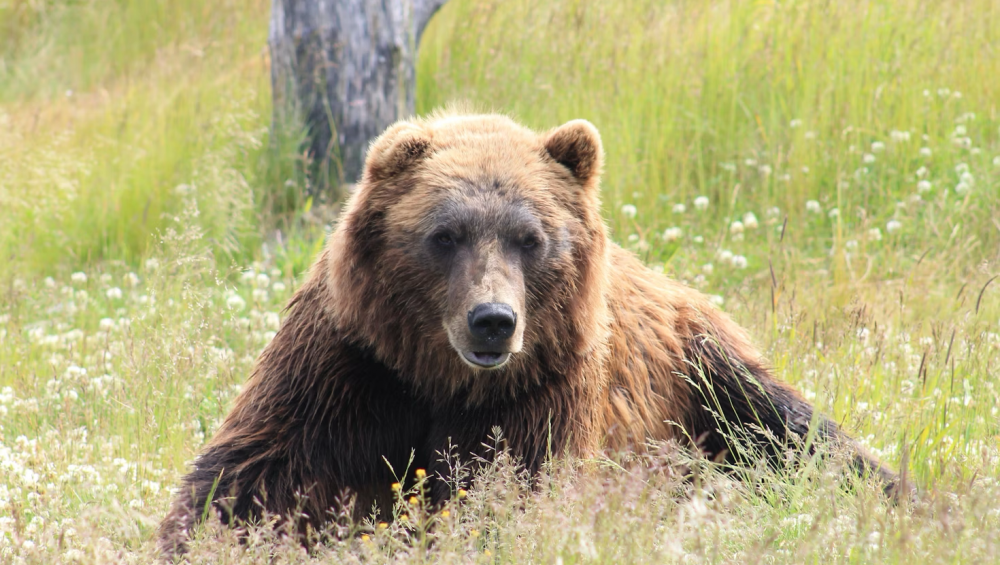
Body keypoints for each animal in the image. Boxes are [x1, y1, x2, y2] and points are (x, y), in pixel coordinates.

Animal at [156, 112, 900, 552]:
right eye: (444, 234)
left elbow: (512, 494)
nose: (493, 320)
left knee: (800, 437)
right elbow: (253, 476)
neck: (441, 378)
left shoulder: (542, 390)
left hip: (704, 374)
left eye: (530, 237)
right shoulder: (351, 368)